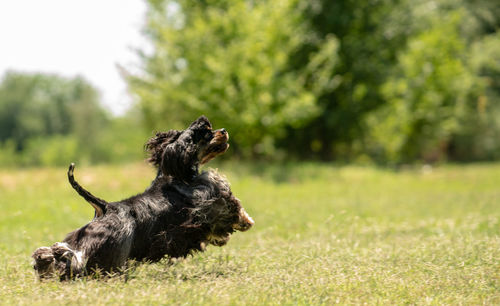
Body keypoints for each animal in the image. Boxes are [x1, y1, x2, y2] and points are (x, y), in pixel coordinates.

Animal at [32, 116, 254, 280]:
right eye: (207, 132)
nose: (224, 130)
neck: (176, 174)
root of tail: (105, 207)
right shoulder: (212, 202)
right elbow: (233, 210)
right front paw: (245, 222)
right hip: (112, 247)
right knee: (79, 261)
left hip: (88, 240)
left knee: (67, 253)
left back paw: (45, 259)